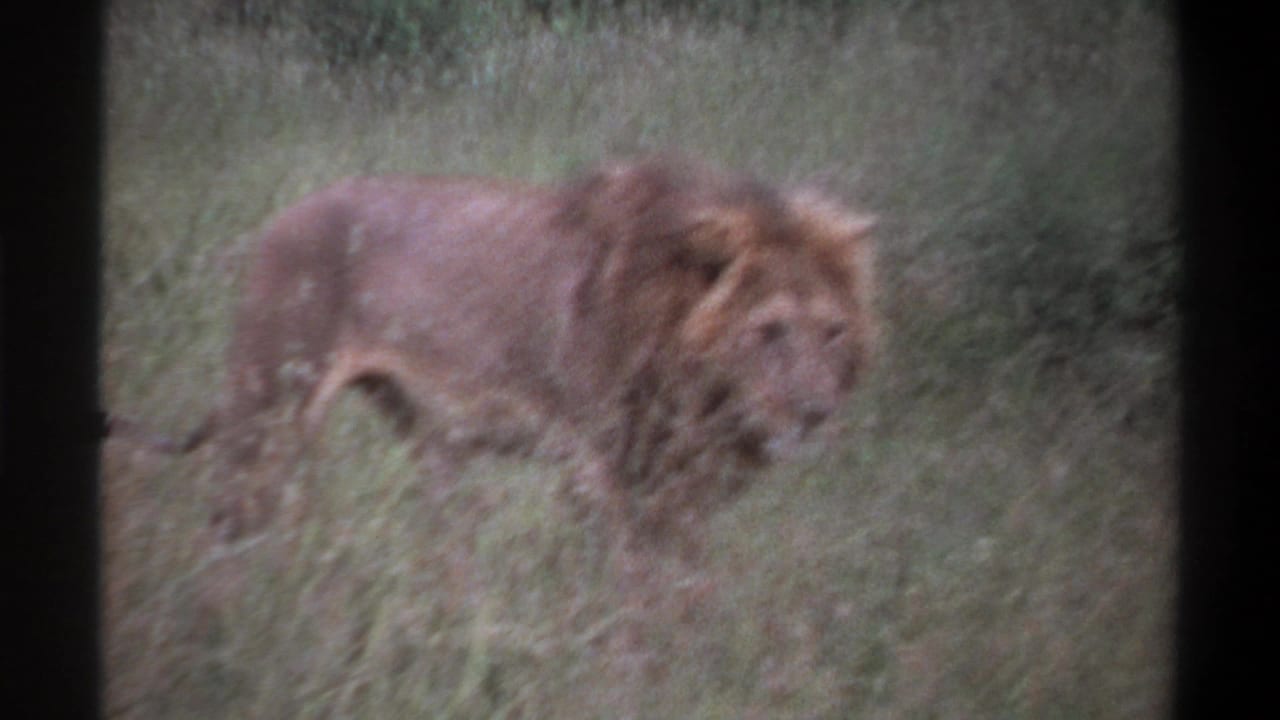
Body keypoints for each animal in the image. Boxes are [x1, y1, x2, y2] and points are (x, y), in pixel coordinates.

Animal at [111, 156, 878, 546]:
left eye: (834, 332)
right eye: (768, 332)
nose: (815, 413)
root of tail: (280, 219)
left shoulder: (674, 486)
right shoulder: (602, 469)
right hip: (267, 413)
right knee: (227, 542)